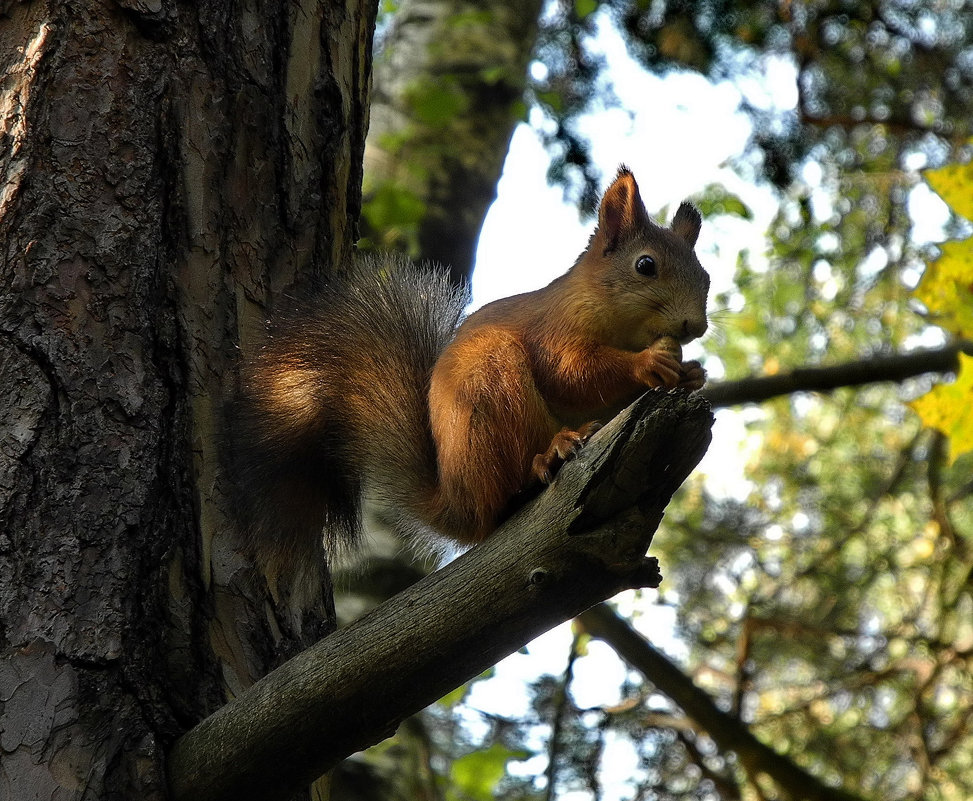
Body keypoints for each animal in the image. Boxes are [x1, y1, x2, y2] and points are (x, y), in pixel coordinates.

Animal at [225, 167, 712, 592]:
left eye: (705, 276)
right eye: (645, 265)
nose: (695, 326)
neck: (618, 324)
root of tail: (459, 504)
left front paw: (691, 374)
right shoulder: (554, 331)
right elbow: (571, 372)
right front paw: (649, 363)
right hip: (493, 386)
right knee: (509, 488)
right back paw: (549, 455)